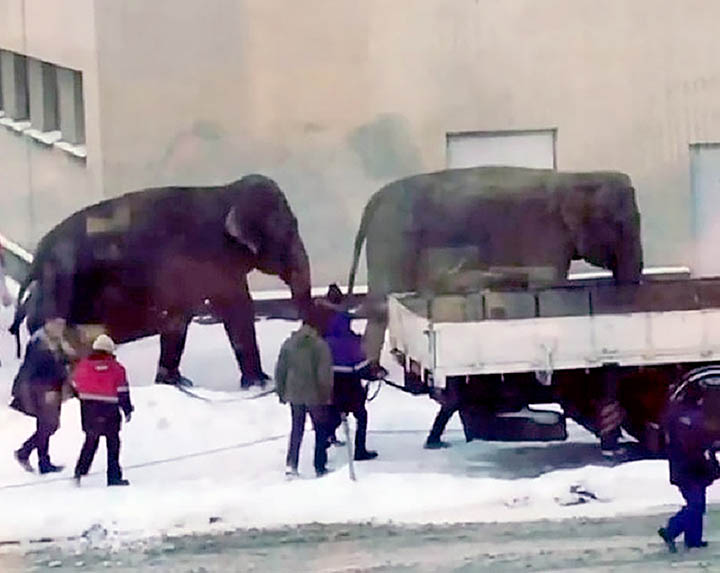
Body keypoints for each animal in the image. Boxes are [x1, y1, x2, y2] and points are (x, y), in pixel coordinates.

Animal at [9, 174, 310, 388]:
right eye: (290, 230)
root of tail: (37, 258)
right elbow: (236, 310)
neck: (226, 191)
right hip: (62, 289)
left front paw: (175, 382)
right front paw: (259, 383)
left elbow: (179, 318)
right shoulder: (211, 261)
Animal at [346, 165, 644, 362]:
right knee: (384, 304)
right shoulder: (544, 232)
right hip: (394, 240)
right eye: (621, 224)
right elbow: (550, 282)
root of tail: (375, 199)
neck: (577, 176)